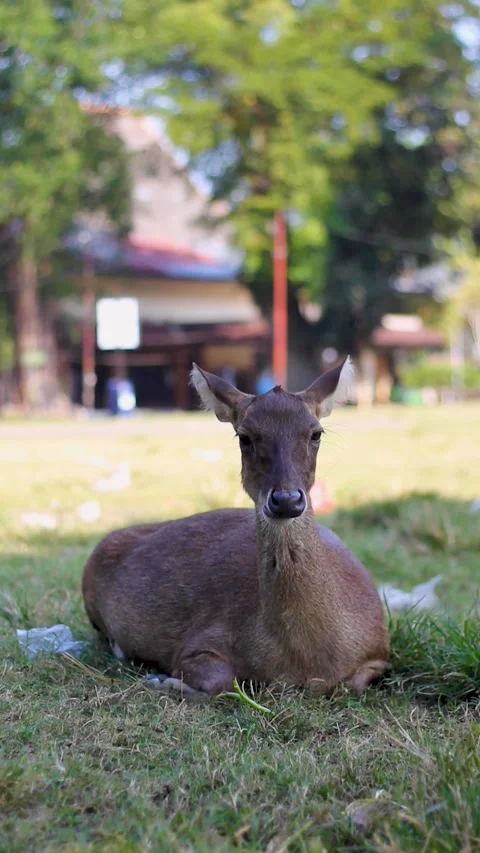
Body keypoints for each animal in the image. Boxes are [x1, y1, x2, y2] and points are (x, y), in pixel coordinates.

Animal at [82, 358, 389, 698]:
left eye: (315, 433)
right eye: (245, 436)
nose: (285, 500)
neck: (304, 661)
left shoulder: (379, 650)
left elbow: (354, 685)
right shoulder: (199, 640)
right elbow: (221, 682)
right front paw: (163, 680)